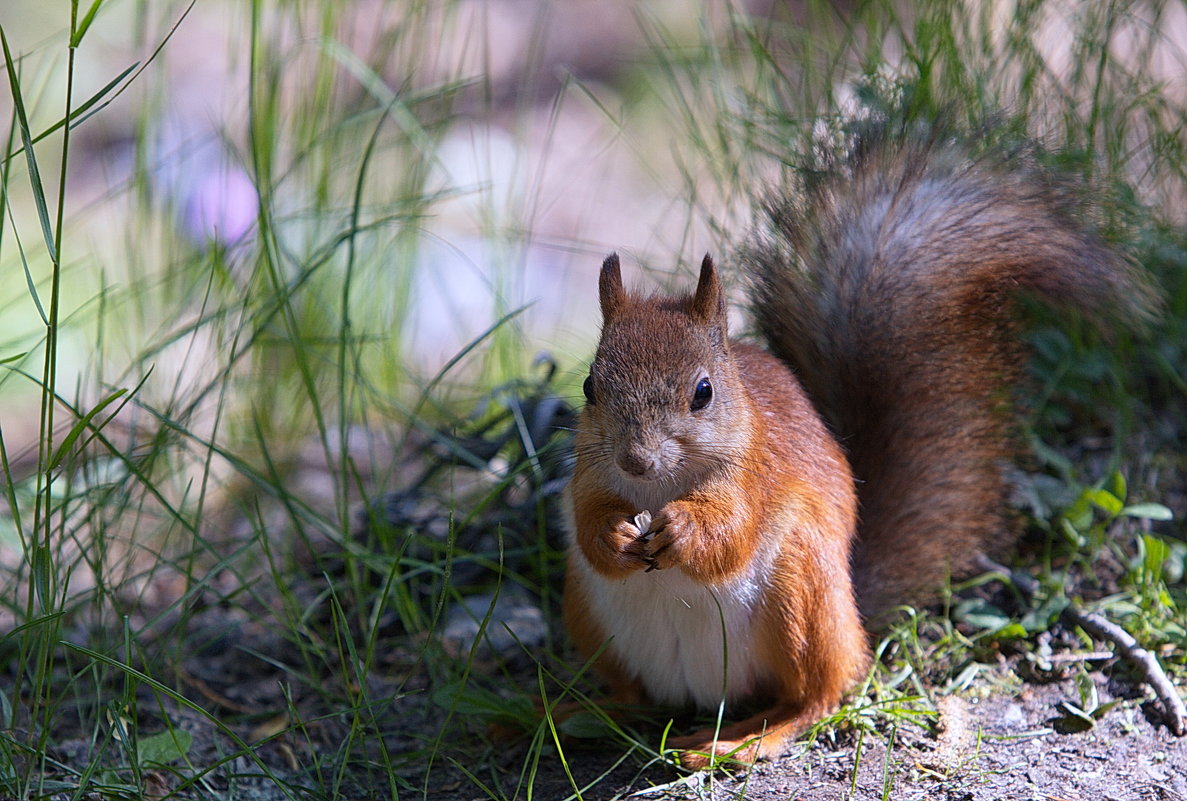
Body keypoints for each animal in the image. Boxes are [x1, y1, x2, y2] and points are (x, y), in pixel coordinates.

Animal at [560, 126, 1153, 768]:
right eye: (589, 387)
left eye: (703, 392)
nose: (635, 460)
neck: (659, 488)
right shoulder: (588, 476)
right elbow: (588, 523)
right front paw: (614, 534)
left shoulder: (757, 476)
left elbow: (731, 536)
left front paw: (683, 530)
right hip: (587, 614)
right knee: (633, 697)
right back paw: (565, 713)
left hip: (802, 592)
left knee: (819, 693)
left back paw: (743, 738)